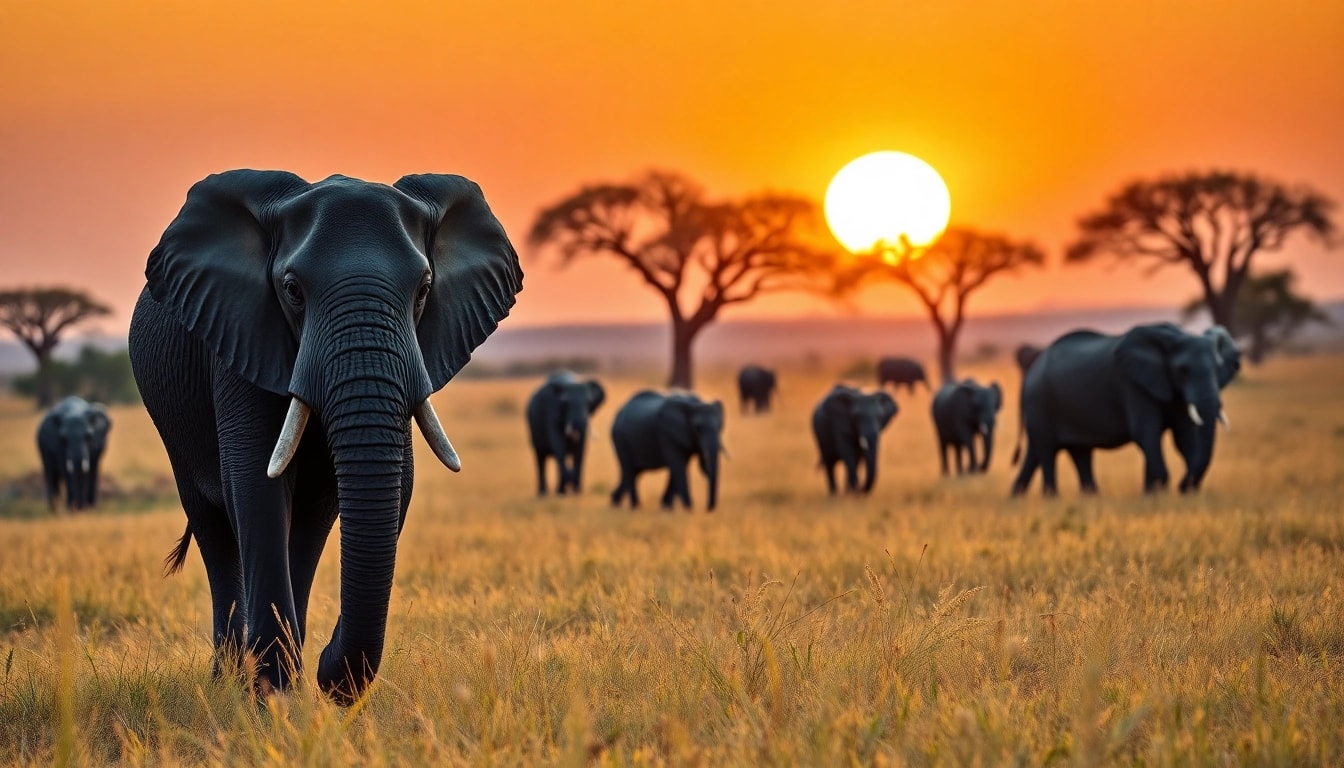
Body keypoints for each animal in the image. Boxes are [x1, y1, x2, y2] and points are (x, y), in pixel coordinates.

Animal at [128, 170, 522, 703]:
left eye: (424, 289)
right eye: (292, 290)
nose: (328, 674)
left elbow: (381, 486)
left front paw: (289, 688)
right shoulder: (242, 337)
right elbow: (256, 482)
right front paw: (271, 700)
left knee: (308, 524)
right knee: (214, 526)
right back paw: (229, 680)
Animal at [1009, 323, 1226, 497]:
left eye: (1219, 368)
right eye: (1183, 370)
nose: (1183, 486)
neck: (1173, 335)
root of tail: (1030, 372)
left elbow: (1184, 437)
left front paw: (1183, 493)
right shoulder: (1132, 384)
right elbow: (1146, 432)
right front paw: (1160, 491)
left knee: (1074, 452)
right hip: (1039, 401)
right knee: (1047, 450)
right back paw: (1051, 498)